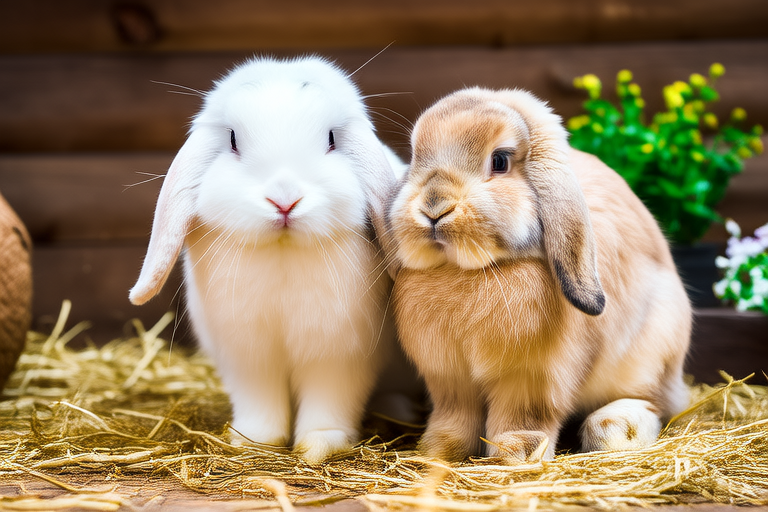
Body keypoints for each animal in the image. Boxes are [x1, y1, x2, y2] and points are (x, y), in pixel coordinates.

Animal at [129, 56, 406, 464]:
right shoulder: (248, 356)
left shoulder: (341, 355)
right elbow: (258, 400)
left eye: (331, 139)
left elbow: (331, 400)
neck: (283, 254)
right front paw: (253, 441)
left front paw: (319, 446)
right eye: (232, 139)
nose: (284, 199)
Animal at [382, 87, 691, 462]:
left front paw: (515, 454)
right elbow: (454, 417)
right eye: (415, 158)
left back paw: (616, 431)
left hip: (653, 354)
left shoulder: (533, 378)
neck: (474, 271)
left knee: (652, 402)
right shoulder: (449, 379)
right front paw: (437, 450)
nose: (433, 207)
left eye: (499, 161)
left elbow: (524, 415)